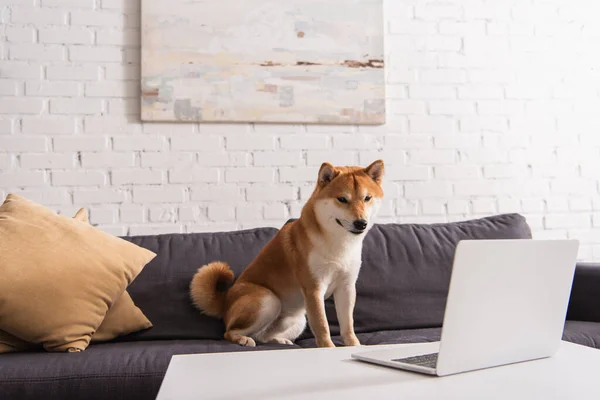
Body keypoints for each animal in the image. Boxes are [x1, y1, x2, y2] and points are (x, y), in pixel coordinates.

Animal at [191, 159, 384, 346]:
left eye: (367, 198)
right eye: (342, 199)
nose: (361, 223)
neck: (338, 243)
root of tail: (225, 302)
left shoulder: (346, 288)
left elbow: (348, 325)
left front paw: (354, 345)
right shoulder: (314, 289)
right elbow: (322, 326)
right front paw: (328, 347)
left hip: (298, 319)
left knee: (263, 336)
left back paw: (280, 340)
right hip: (268, 300)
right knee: (229, 332)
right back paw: (243, 339)